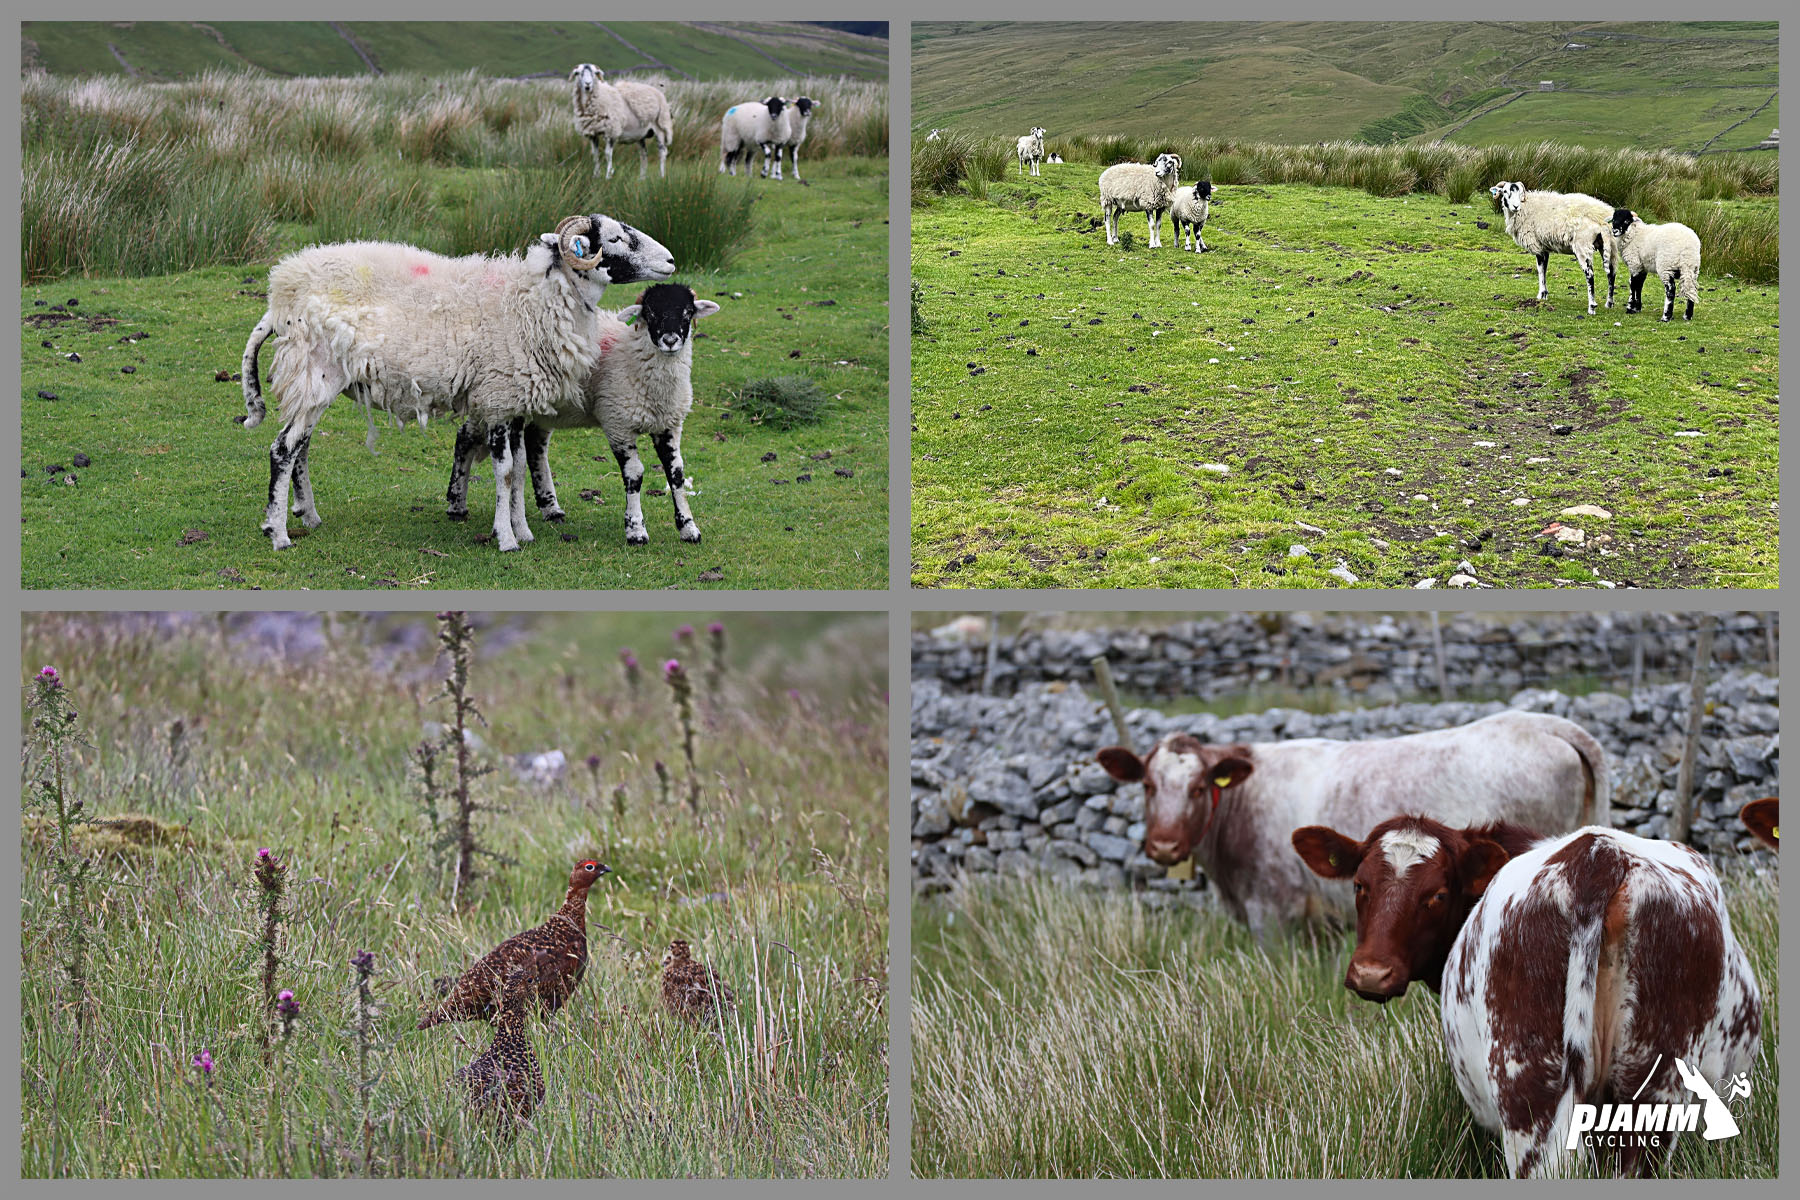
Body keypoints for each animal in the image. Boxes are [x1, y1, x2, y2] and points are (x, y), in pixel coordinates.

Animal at [239, 214, 676, 553]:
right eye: (616, 239)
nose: (672, 260)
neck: (533, 300)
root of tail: (279, 291)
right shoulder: (497, 397)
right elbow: (504, 472)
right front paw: (506, 539)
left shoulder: (514, 402)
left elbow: (519, 470)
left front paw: (523, 530)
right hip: (314, 370)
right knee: (283, 450)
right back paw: (278, 533)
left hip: (312, 382)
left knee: (301, 448)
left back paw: (308, 516)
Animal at [444, 284, 721, 547]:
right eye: (650, 312)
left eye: (688, 312)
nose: (670, 340)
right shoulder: (617, 424)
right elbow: (635, 474)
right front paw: (636, 530)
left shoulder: (669, 424)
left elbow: (676, 473)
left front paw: (688, 528)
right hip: (494, 397)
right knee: (465, 437)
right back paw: (456, 503)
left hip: (538, 411)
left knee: (535, 448)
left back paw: (550, 507)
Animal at [1294, 816, 1763, 1177]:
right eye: (1360, 885)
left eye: (1437, 895)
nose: (1372, 974)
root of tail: (1598, 858)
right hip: (1652, 1085)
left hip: (1528, 1087)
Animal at [1488, 180, 1616, 315]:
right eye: (1505, 191)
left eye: (1520, 192)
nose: (1515, 206)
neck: (1525, 207)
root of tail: (1601, 219)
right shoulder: (1544, 247)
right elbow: (1544, 269)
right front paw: (1544, 294)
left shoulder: (1537, 245)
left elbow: (1540, 270)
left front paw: (1540, 294)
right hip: (1609, 245)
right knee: (1611, 273)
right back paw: (1609, 303)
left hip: (1582, 245)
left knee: (1590, 275)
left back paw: (1591, 307)